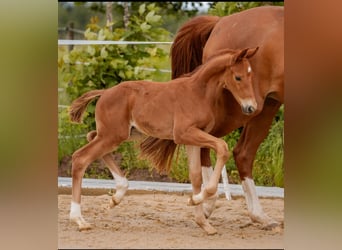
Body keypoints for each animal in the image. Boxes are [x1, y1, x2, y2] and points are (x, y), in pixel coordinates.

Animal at [68, 47, 258, 234]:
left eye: (251, 75)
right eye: (238, 77)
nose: (251, 107)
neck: (198, 93)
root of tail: (105, 92)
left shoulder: (192, 139)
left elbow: (195, 176)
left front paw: (202, 219)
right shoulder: (184, 133)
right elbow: (222, 147)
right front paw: (197, 200)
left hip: (123, 134)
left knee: (91, 136)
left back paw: (117, 195)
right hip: (113, 135)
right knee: (80, 157)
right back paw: (79, 220)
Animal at [157, 6, 284, 230]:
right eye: (240, 76)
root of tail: (220, 22)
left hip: (264, 106)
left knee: (241, 153)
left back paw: (257, 215)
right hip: (243, 108)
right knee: (213, 145)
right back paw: (205, 202)